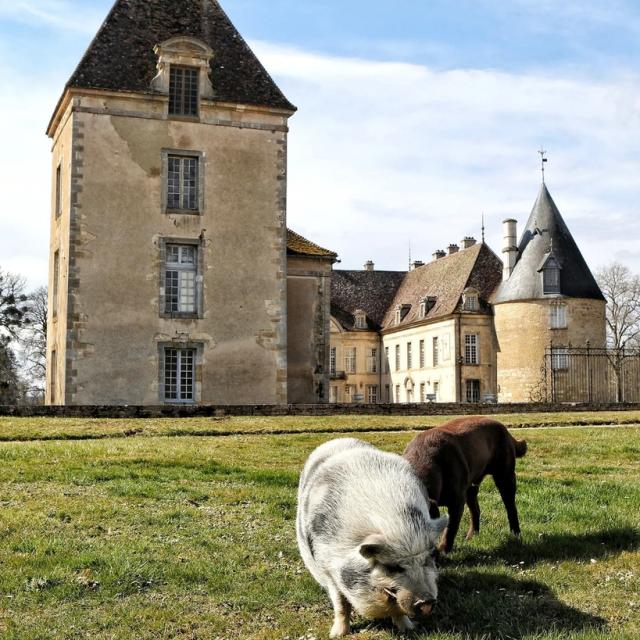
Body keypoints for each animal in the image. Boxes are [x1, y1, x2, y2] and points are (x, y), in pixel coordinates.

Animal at [298, 438, 448, 636]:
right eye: (392, 567)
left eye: (429, 558)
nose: (427, 602)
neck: (396, 524)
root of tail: (338, 440)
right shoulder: (327, 568)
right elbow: (341, 604)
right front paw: (337, 634)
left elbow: (398, 609)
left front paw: (408, 629)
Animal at [402, 418, 528, 552]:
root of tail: (505, 430)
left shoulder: (457, 500)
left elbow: (450, 529)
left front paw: (443, 550)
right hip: (471, 487)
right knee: (475, 509)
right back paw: (472, 536)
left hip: (505, 475)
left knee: (511, 507)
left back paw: (515, 534)